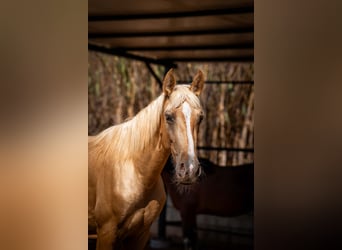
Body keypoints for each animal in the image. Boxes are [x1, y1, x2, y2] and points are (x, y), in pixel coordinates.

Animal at [89, 69, 206, 250]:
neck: (137, 173)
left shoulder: (140, 235)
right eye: (168, 116)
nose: (189, 170)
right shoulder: (106, 233)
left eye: (200, 118)